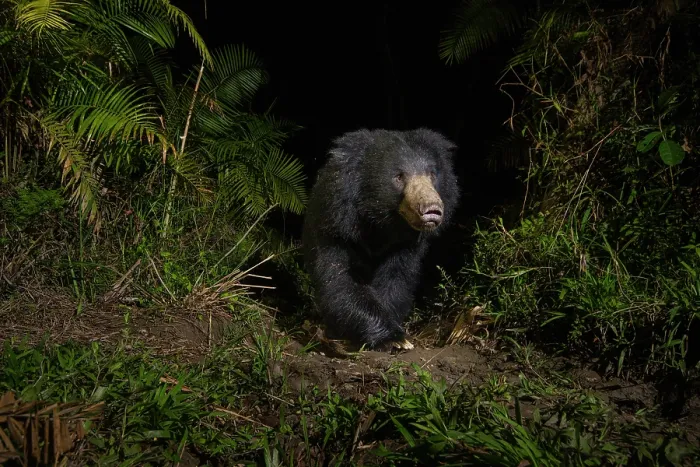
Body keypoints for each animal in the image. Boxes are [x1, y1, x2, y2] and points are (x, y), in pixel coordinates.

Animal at [302, 128, 459, 351]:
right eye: (399, 177)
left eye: (432, 174)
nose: (431, 209)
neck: (382, 223)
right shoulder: (337, 226)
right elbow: (340, 279)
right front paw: (395, 339)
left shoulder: (405, 245)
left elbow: (396, 279)